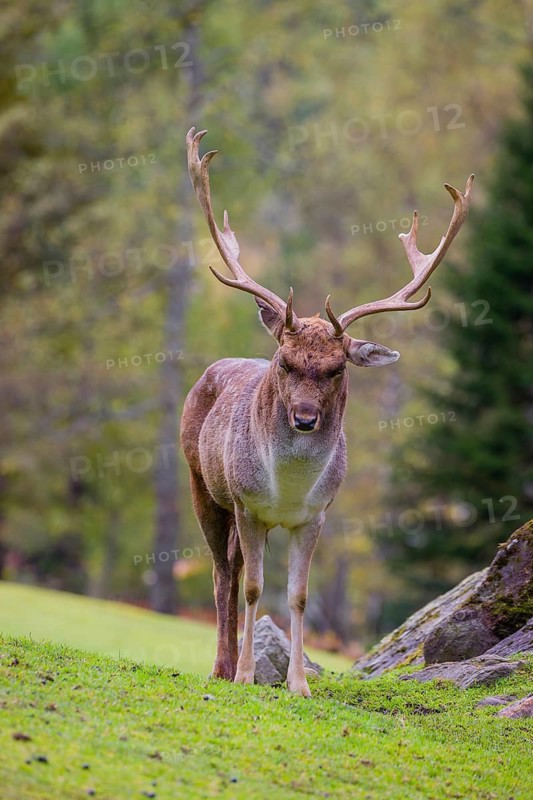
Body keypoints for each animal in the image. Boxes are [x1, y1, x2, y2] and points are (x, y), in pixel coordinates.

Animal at [180, 126, 474, 696]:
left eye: (338, 368)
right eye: (286, 360)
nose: (304, 419)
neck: (286, 491)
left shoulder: (316, 515)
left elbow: (297, 595)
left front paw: (298, 684)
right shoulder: (248, 504)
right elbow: (255, 587)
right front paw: (248, 675)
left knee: (229, 568)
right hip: (201, 482)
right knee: (222, 574)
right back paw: (221, 667)